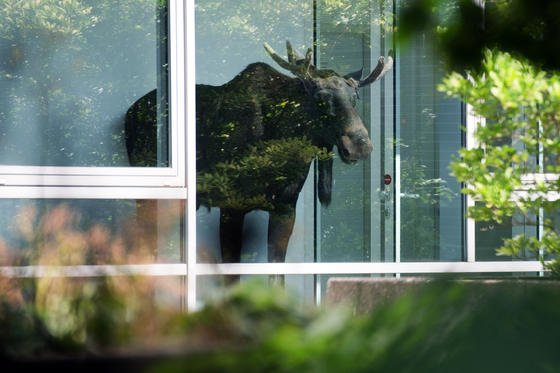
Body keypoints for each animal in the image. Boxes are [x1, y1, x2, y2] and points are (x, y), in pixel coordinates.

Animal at [124, 42, 392, 268]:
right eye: (320, 98)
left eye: (355, 97)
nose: (361, 145)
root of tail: (130, 112)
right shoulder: (231, 206)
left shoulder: (285, 208)